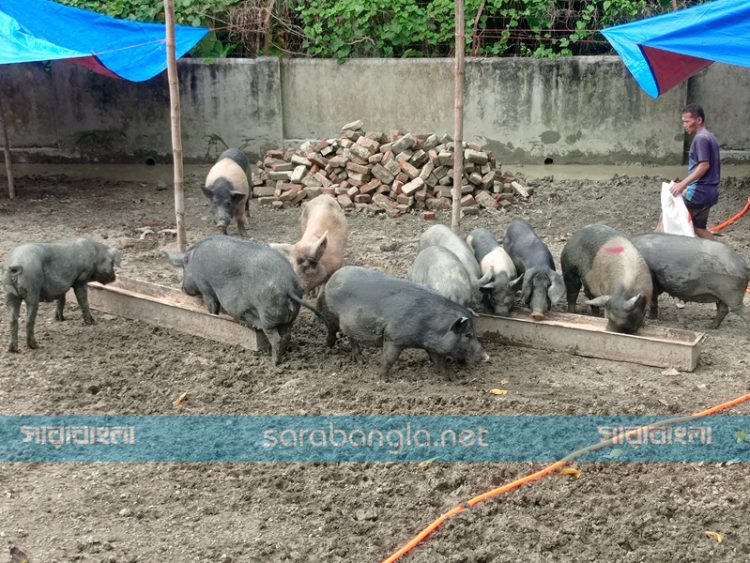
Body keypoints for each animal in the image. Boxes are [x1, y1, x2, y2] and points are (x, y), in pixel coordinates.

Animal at [322, 268, 488, 378]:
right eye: (468, 334)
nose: (487, 357)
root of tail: (334, 276)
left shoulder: (432, 346)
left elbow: (439, 362)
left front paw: (451, 378)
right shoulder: (393, 338)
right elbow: (388, 359)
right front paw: (381, 378)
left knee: (351, 337)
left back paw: (360, 361)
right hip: (332, 313)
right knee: (333, 328)